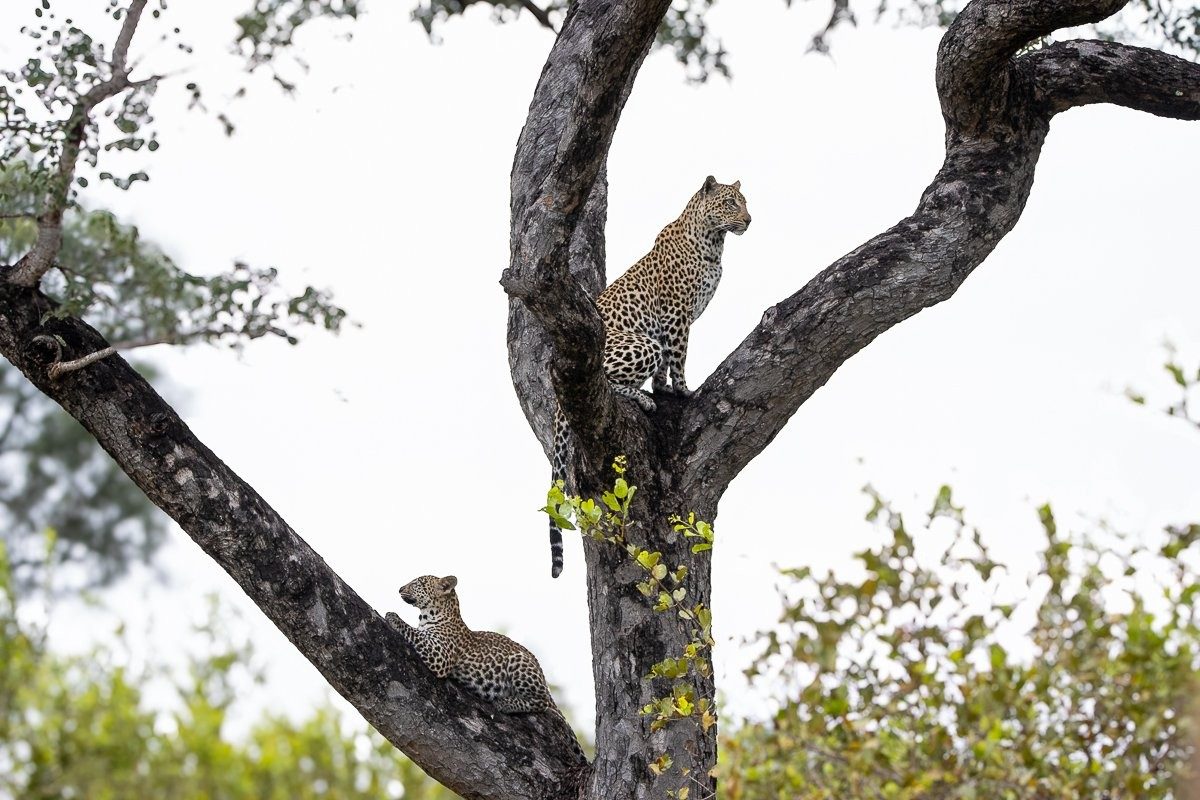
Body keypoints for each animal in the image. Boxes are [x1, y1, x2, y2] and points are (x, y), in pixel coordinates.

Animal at [384, 575, 583, 754]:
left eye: (417, 582)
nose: (400, 589)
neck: (429, 616)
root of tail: (542, 677)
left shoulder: (440, 656)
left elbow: (414, 633)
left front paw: (393, 617)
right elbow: (417, 633)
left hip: (519, 662)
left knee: (541, 701)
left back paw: (505, 703)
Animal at [545, 175, 751, 578]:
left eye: (745, 203)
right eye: (731, 203)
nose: (749, 220)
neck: (713, 243)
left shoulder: (675, 319)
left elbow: (667, 365)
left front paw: (663, 388)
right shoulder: (675, 315)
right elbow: (678, 356)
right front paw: (683, 391)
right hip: (638, 344)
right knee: (607, 383)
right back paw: (641, 398)